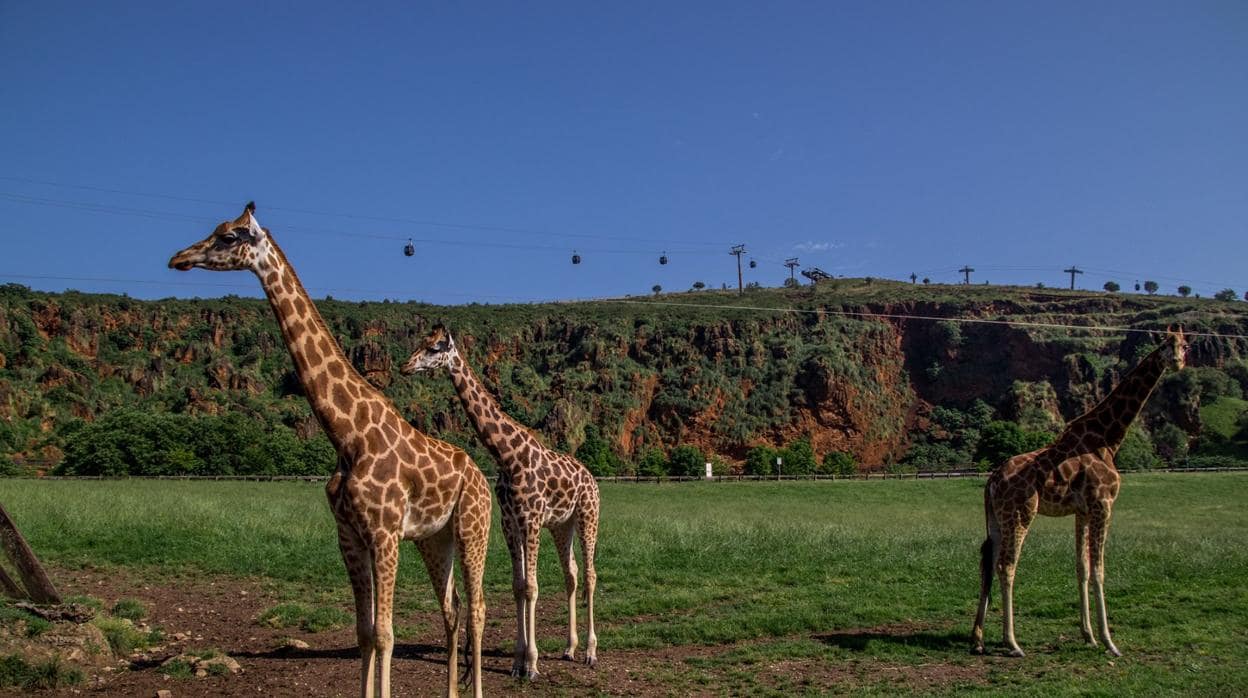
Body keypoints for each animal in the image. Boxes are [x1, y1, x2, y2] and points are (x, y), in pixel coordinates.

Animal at [168, 203, 489, 698]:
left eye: (230, 236)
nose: (179, 258)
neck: (346, 435)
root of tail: (481, 476)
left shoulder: (384, 534)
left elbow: (386, 633)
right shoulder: (350, 536)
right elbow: (364, 633)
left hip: (475, 528)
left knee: (477, 609)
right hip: (436, 538)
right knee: (451, 608)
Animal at [399, 327, 594, 679]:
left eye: (435, 348)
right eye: (421, 342)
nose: (405, 366)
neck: (507, 456)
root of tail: (591, 477)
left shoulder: (530, 518)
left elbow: (531, 587)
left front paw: (532, 664)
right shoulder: (509, 522)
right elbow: (518, 586)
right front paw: (518, 661)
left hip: (588, 514)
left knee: (590, 575)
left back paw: (590, 652)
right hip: (563, 525)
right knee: (571, 573)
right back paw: (569, 649)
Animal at [968, 329, 1183, 659]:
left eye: (1185, 345)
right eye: (1171, 346)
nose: (1179, 363)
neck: (1108, 439)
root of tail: (991, 481)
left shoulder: (1081, 510)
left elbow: (1081, 567)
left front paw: (1088, 636)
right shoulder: (1103, 504)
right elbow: (1099, 569)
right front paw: (1110, 642)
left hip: (996, 519)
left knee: (989, 565)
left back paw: (978, 640)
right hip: (1020, 513)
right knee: (1007, 565)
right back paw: (1012, 643)